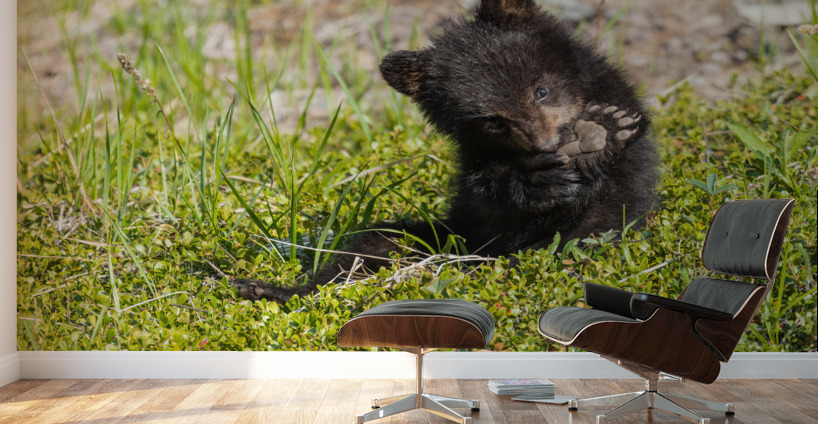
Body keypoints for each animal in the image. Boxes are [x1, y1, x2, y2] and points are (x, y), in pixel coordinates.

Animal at [234, 0, 658, 303]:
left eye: (542, 90)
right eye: (493, 122)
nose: (547, 146)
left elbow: (608, 192)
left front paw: (597, 134)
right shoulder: (475, 156)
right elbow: (486, 189)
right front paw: (540, 179)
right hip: (451, 237)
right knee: (372, 245)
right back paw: (270, 289)